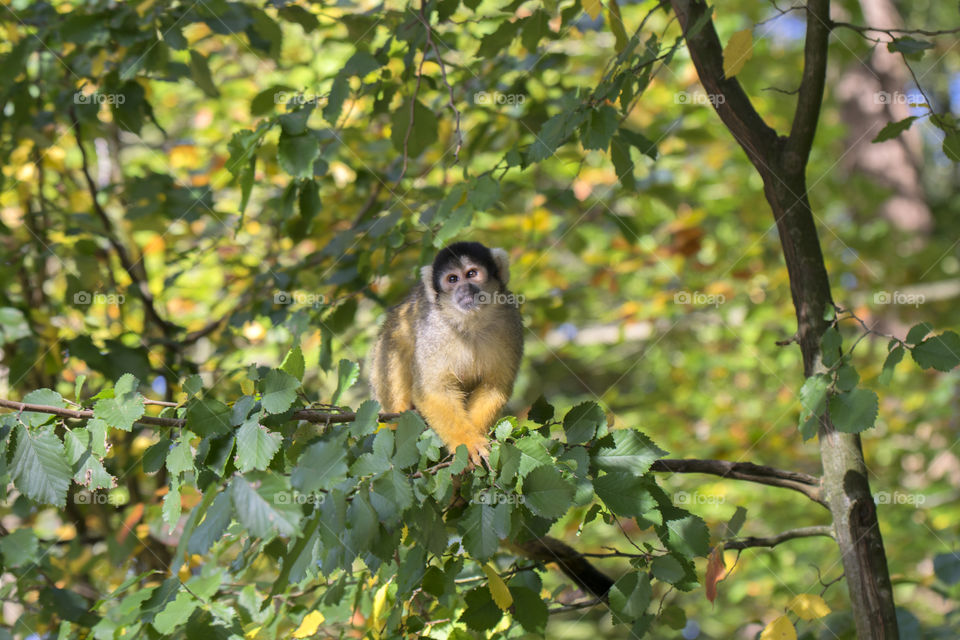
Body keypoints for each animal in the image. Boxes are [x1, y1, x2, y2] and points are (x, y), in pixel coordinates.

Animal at [368, 241, 523, 465]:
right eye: (452, 279)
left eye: (472, 273)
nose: (464, 289)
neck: (470, 321)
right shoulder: (434, 327)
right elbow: (432, 389)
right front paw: (468, 442)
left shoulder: (510, 320)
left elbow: (494, 386)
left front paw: (477, 436)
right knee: (397, 342)